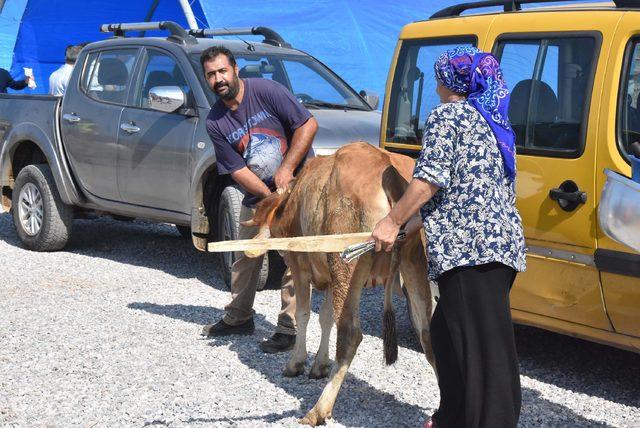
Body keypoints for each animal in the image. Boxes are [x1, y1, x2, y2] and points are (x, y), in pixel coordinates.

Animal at [244, 143, 436, 424]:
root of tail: (388, 168)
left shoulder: (300, 265)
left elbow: (304, 314)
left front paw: (296, 363)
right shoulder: (329, 277)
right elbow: (325, 318)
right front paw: (320, 364)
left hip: (346, 264)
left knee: (350, 335)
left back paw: (318, 409)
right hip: (414, 264)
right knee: (427, 334)